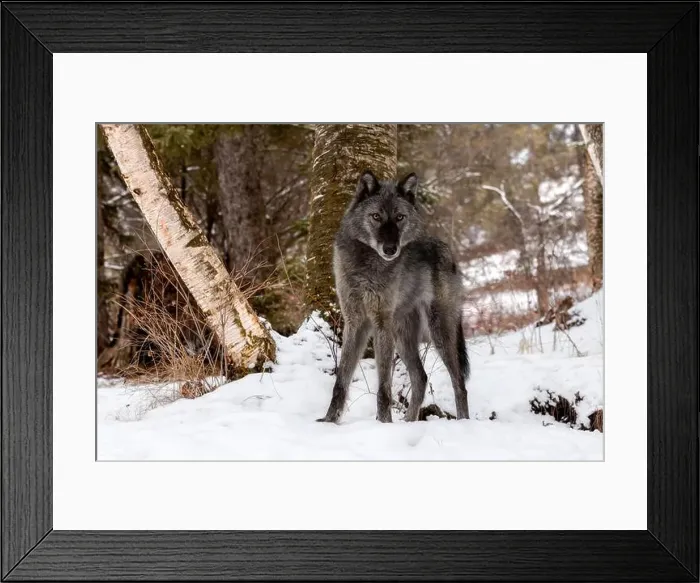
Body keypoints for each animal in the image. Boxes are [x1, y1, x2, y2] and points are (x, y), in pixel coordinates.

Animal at [317, 169, 470, 424]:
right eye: (376, 216)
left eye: (399, 217)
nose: (390, 249)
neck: (366, 265)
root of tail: (448, 250)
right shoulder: (355, 322)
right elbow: (341, 381)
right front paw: (329, 421)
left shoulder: (380, 323)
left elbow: (384, 387)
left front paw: (383, 423)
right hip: (402, 335)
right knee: (421, 377)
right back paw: (408, 422)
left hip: (439, 331)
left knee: (459, 382)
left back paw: (463, 423)